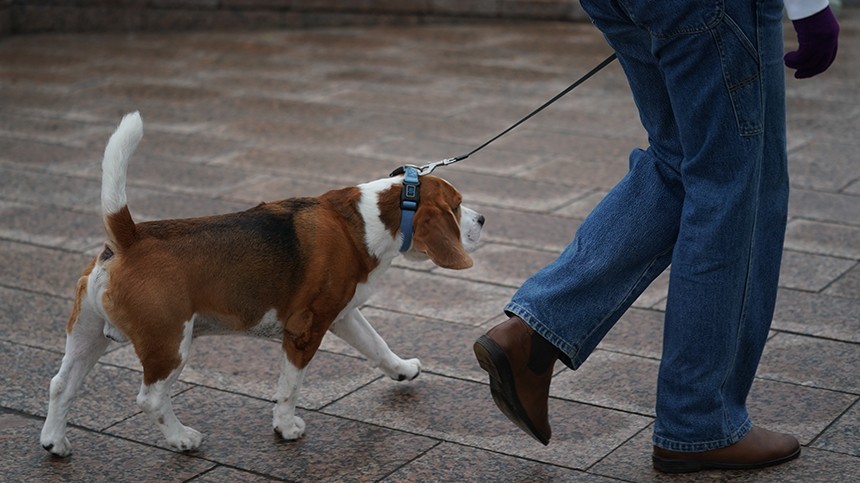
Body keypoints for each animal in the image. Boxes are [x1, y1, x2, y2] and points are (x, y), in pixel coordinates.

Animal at [40, 113, 484, 458]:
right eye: (458, 206)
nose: (482, 220)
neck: (368, 219)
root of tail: (129, 237)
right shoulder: (305, 330)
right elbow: (289, 387)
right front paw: (285, 428)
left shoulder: (343, 315)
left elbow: (378, 345)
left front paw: (402, 370)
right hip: (169, 343)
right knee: (150, 398)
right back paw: (182, 438)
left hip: (88, 336)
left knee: (61, 384)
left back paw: (54, 442)